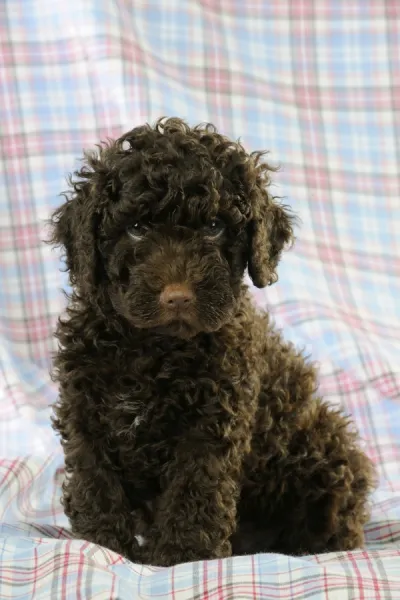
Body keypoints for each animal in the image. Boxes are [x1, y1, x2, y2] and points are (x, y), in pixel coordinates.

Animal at [49, 118, 376, 568]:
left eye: (214, 227)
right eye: (137, 229)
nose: (178, 297)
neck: (156, 350)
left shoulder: (212, 422)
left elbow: (195, 489)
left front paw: (185, 555)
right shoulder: (87, 412)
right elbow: (95, 482)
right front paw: (102, 544)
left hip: (324, 446)